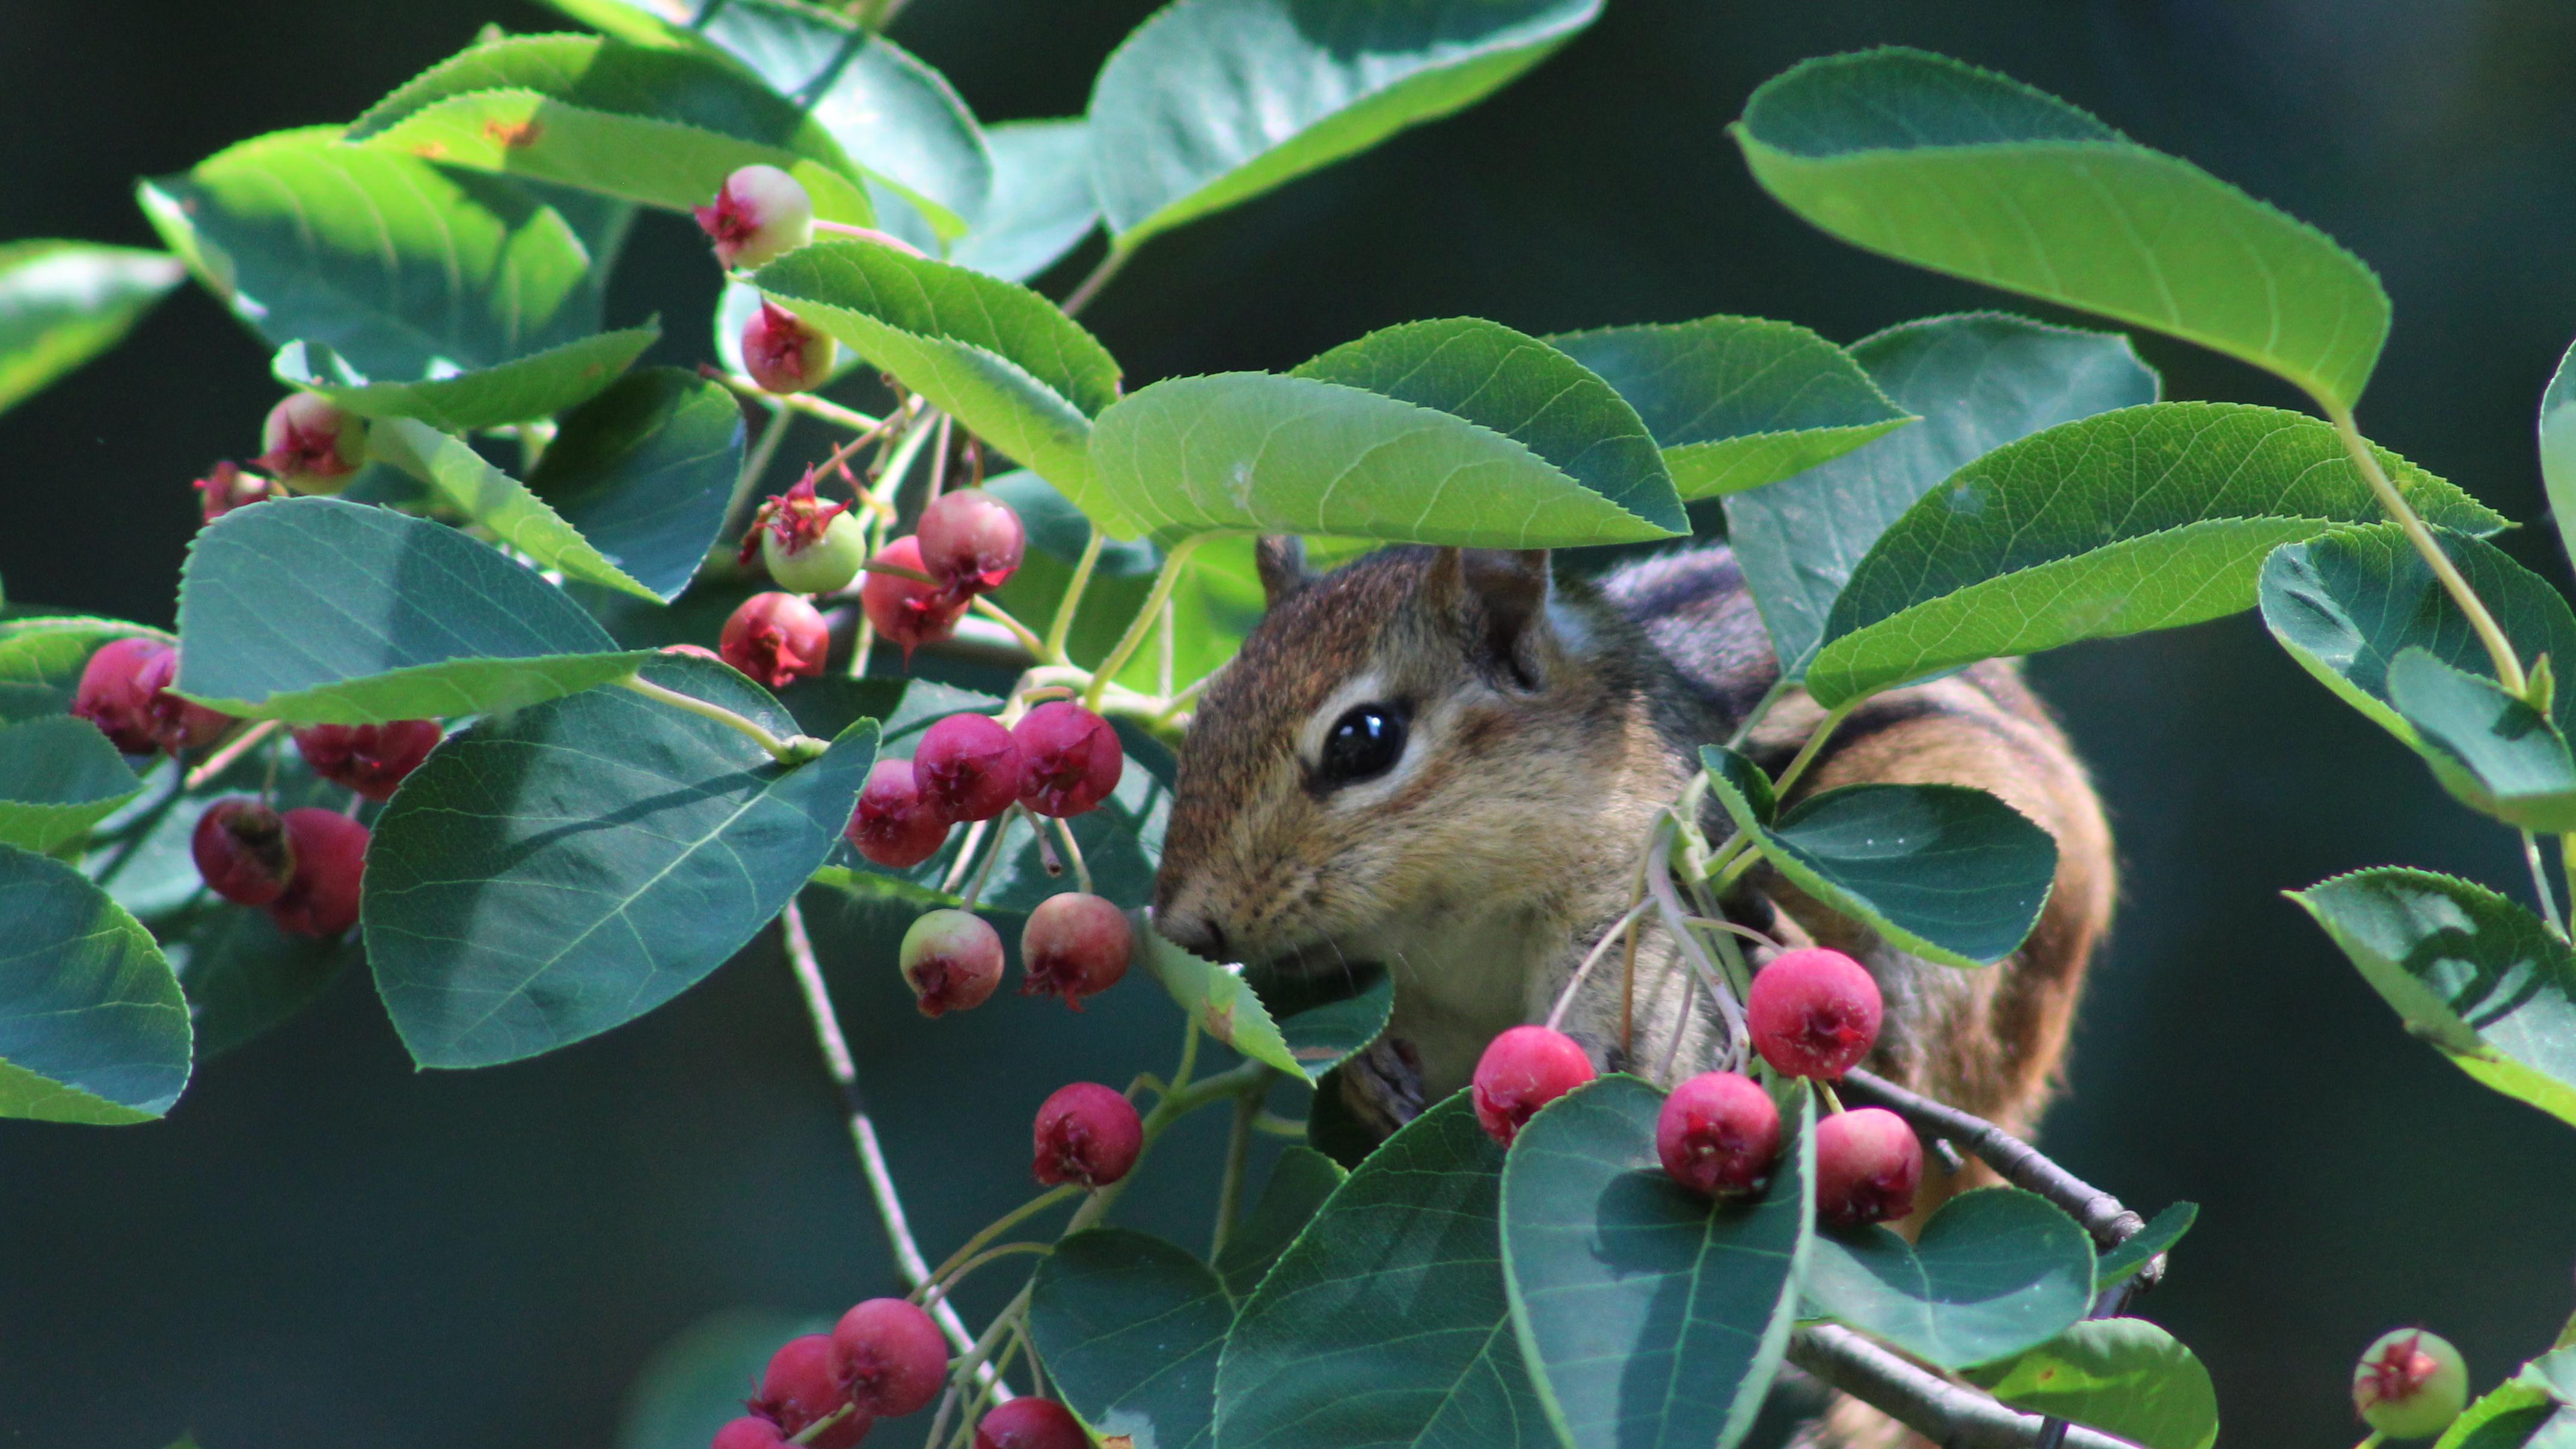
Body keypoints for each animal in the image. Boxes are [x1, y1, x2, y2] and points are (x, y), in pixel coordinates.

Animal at [1152, 540, 2114, 1446]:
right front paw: (1367, 1071)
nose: (1183, 929)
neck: (1443, 923)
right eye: (1206, 707)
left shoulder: (1634, 902)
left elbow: (1637, 1042)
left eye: (1364, 740)